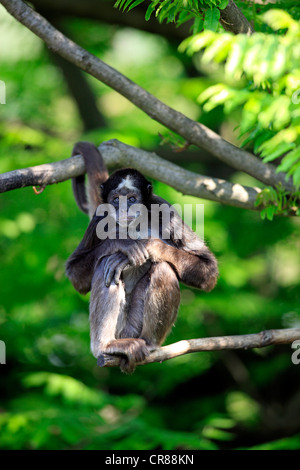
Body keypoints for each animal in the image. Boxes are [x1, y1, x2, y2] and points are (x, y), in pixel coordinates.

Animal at [67, 141, 218, 372]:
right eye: (116, 200)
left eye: (131, 199)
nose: (123, 210)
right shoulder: (100, 215)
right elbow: (76, 275)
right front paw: (122, 242)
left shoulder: (164, 209)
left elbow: (209, 271)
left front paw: (151, 246)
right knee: (105, 264)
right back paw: (106, 346)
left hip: (134, 327)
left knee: (163, 268)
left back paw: (149, 343)